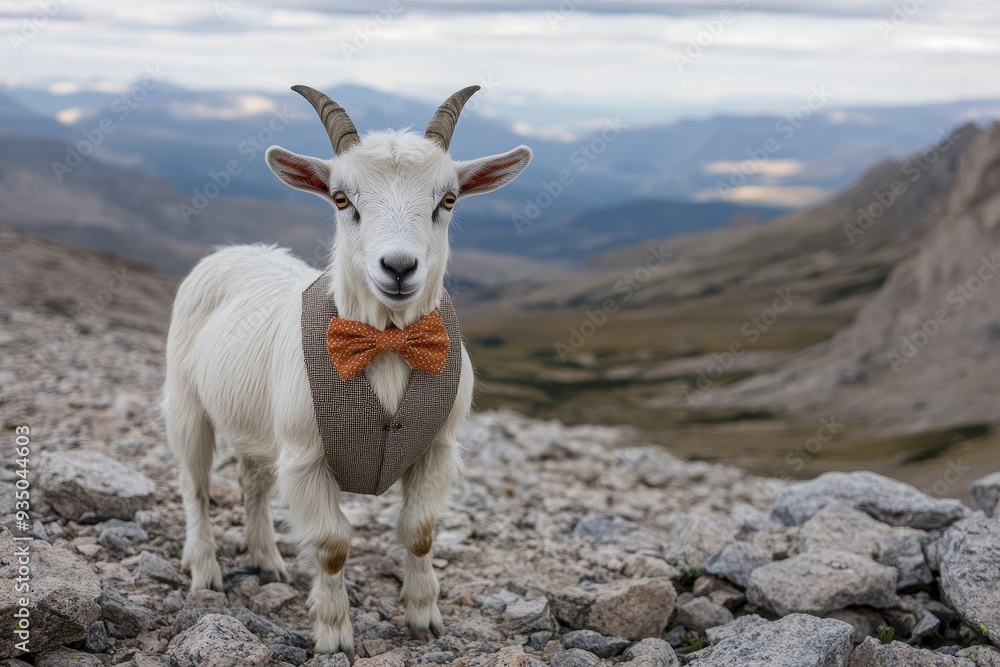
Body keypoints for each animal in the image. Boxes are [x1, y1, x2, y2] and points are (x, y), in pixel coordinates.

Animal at [162, 84, 531, 656]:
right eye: (342, 199)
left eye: (447, 200)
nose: (398, 268)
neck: (388, 344)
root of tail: (236, 251)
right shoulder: (305, 458)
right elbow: (332, 546)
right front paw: (334, 634)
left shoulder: (437, 448)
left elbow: (421, 532)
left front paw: (424, 617)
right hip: (187, 405)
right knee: (195, 486)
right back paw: (205, 571)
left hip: (257, 427)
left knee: (252, 481)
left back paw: (266, 561)